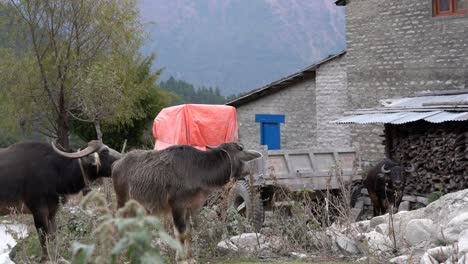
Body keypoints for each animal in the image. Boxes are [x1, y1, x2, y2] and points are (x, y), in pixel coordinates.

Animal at [111, 142, 262, 264]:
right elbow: (181, 233)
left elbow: (189, 232)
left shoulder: (191, 207)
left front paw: (190, 258)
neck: (199, 171)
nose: (250, 169)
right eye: (240, 149)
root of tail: (116, 164)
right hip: (122, 201)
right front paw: (181, 259)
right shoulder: (177, 206)